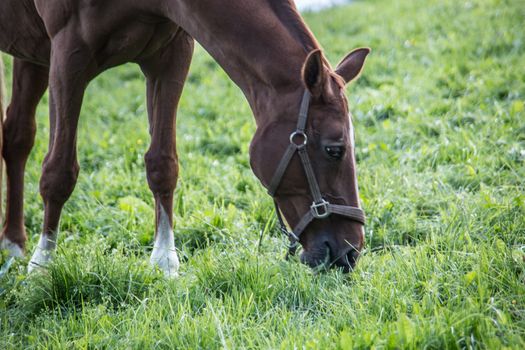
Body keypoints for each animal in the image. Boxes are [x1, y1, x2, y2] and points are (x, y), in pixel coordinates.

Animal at [0, 0, 368, 276]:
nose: (350, 251)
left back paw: (13, 244)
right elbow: (58, 170)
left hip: (32, 54)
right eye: (334, 149)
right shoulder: (68, 55)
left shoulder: (171, 54)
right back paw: (16, 247)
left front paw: (165, 262)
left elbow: (163, 164)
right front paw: (42, 265)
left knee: (18, 135)